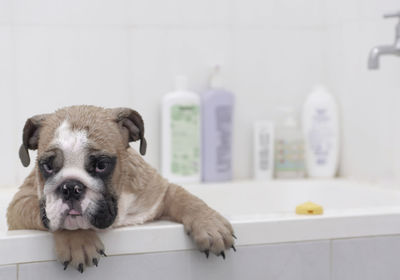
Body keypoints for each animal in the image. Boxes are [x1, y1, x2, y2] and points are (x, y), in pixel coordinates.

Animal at [7, 105, 236, 272]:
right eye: (47, 166)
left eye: (101, 165)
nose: (71, 187)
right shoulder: (19, 205)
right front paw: (78, 240)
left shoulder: (159, 192)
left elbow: (186, 198)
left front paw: (210, 224)